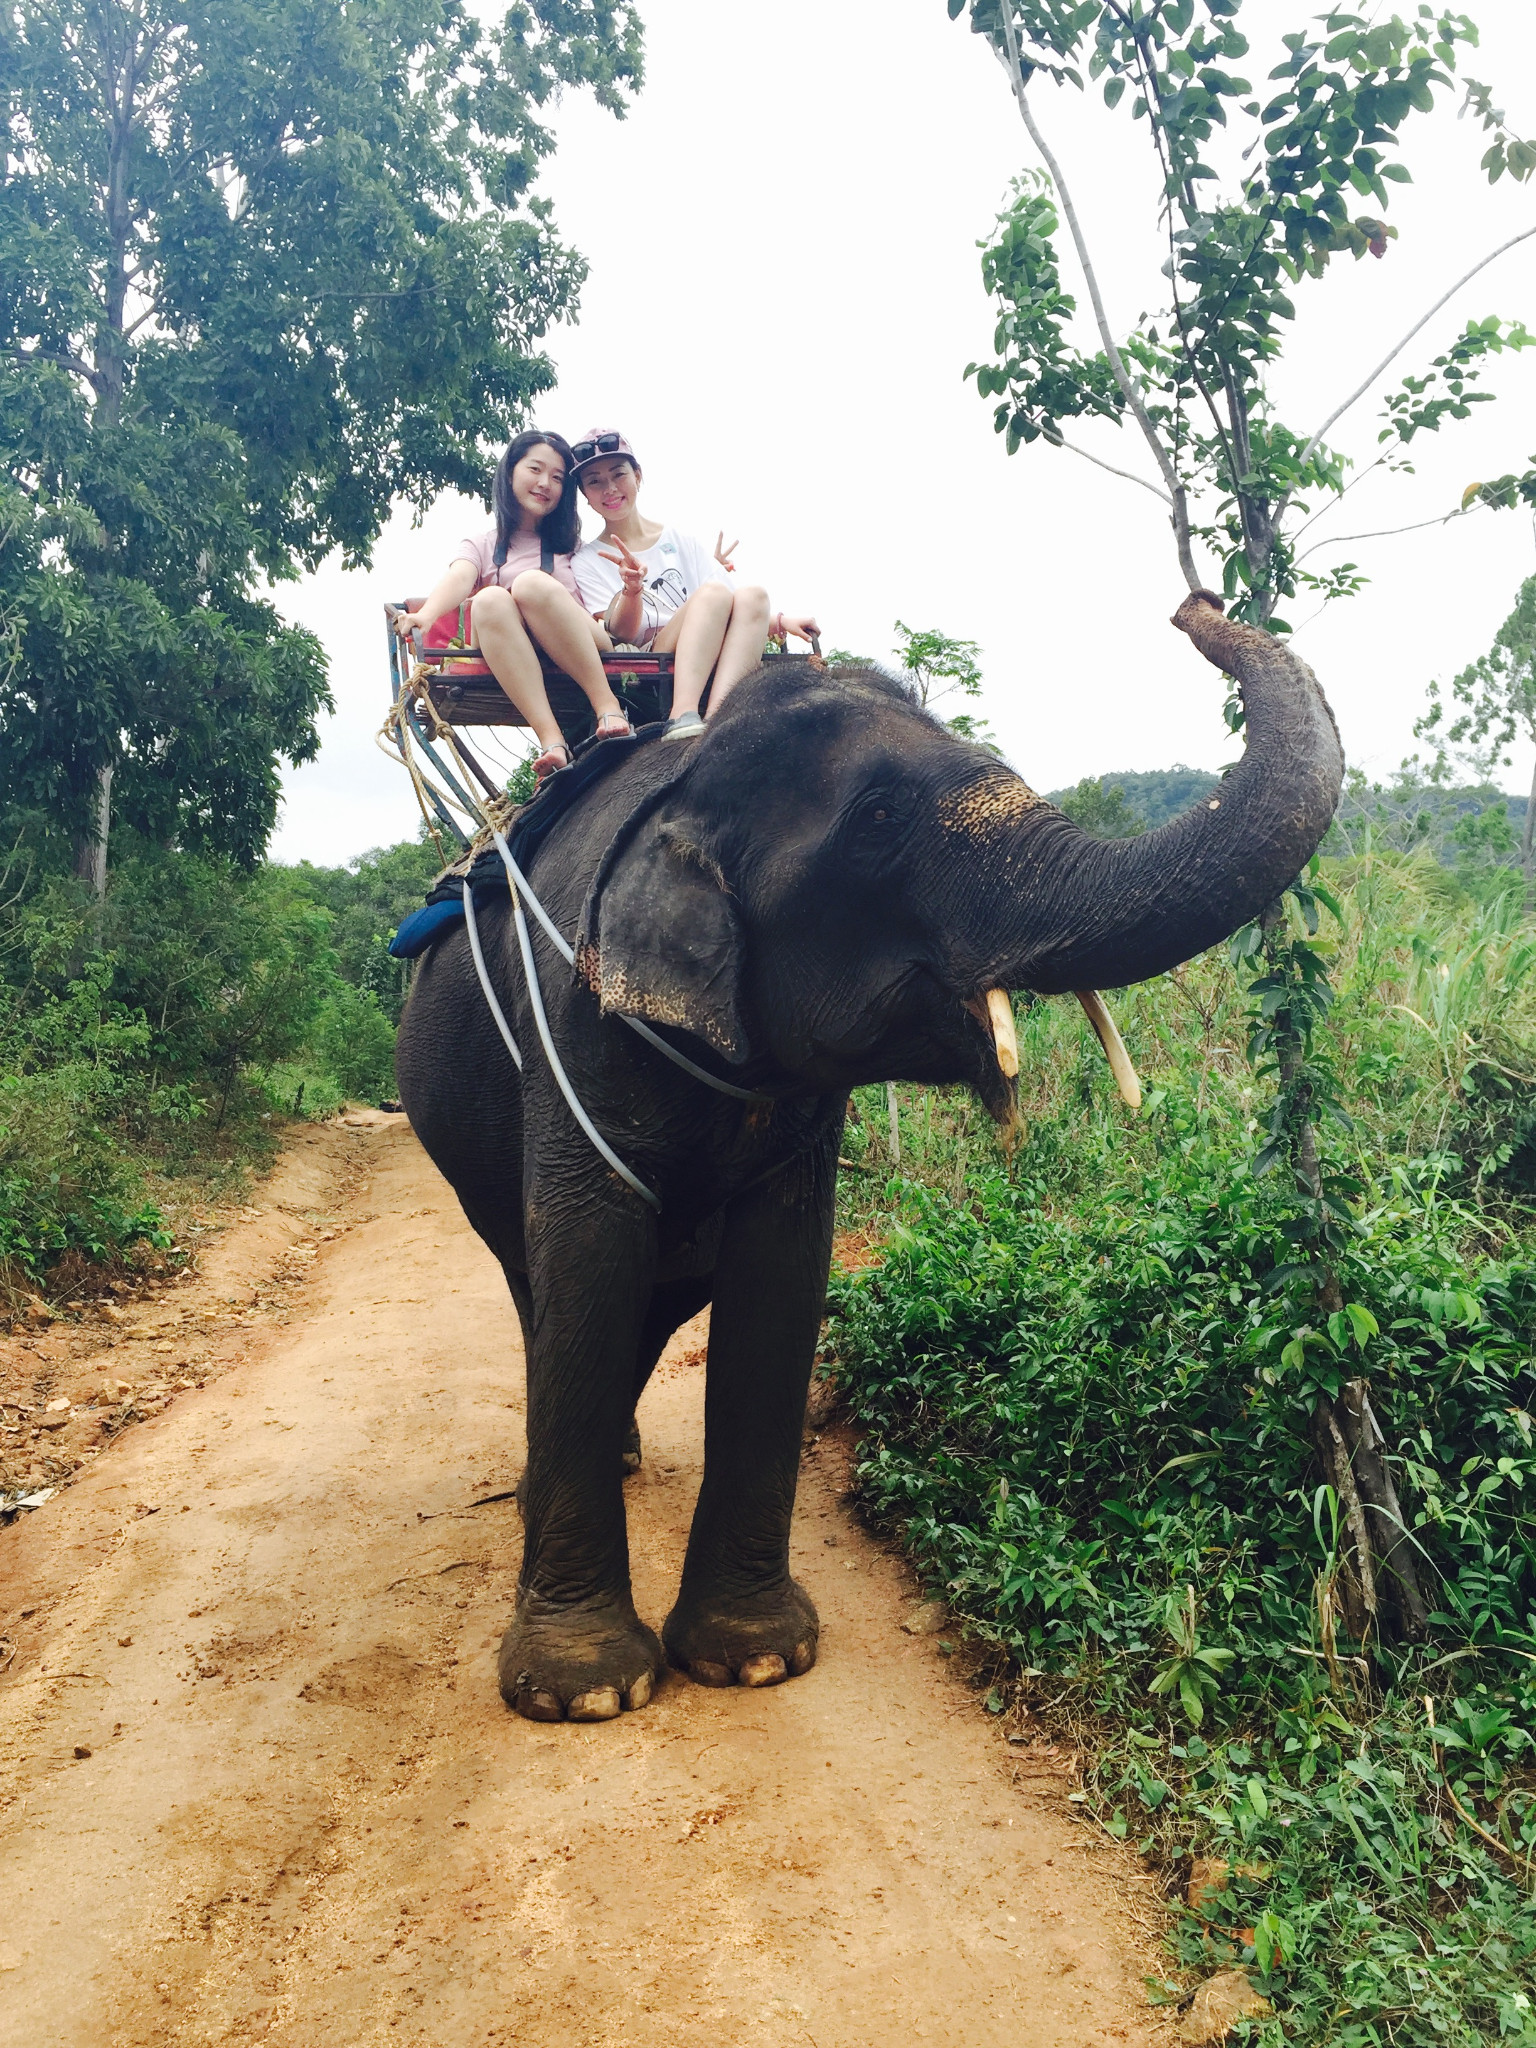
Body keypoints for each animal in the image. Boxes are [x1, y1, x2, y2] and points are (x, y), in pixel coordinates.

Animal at [397, 598, 1343, 1728]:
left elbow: (778, 1277)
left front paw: (755, 1660)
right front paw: (584, 1692)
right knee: (541, 1280)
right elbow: (589, 1256)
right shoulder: (578, 1030)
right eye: (881, 819)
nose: (1195, 611)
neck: (690, 780)